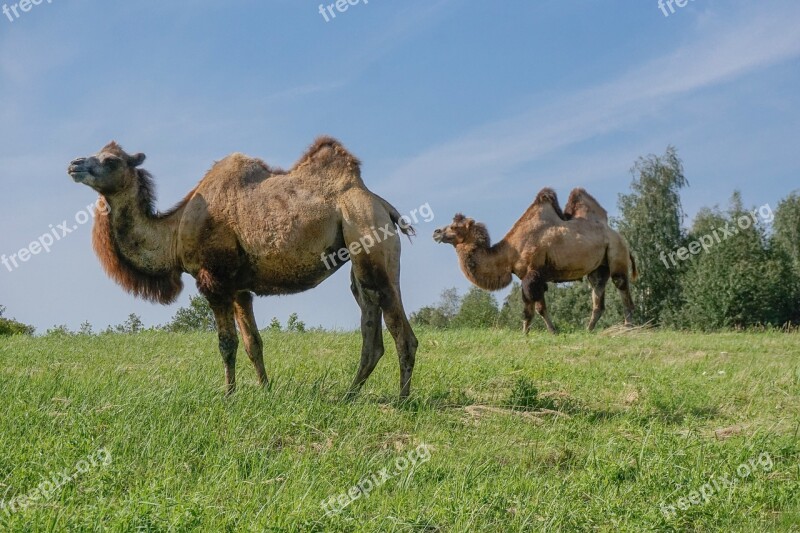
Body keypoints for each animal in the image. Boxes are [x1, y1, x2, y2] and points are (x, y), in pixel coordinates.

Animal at [69, 137, 418, 394]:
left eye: (111, 160)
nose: (74, 164)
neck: (175, 233)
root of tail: (380, 203)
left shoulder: (213, 280)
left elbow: (227, 343)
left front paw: (229, 394)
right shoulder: (239, 288)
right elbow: (253, 343)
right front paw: (265, 390)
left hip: (369, 235)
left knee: (400, 329)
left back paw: (401, 400)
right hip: (359, 259)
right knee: (370, 326)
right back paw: (349, 395)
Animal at [432, 188, 636, 332]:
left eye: (455, 227)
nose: (436, 232)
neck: (509, 252)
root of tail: (620, 236)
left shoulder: (533, 273)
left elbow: (538, 308)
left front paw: (553, 331)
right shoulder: (525, 276)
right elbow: (527, 309)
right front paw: (525, 334)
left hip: (616, 252)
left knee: (621, 285)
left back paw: (628, 326)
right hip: (599, 267)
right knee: (598, 294)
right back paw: (589, 330)